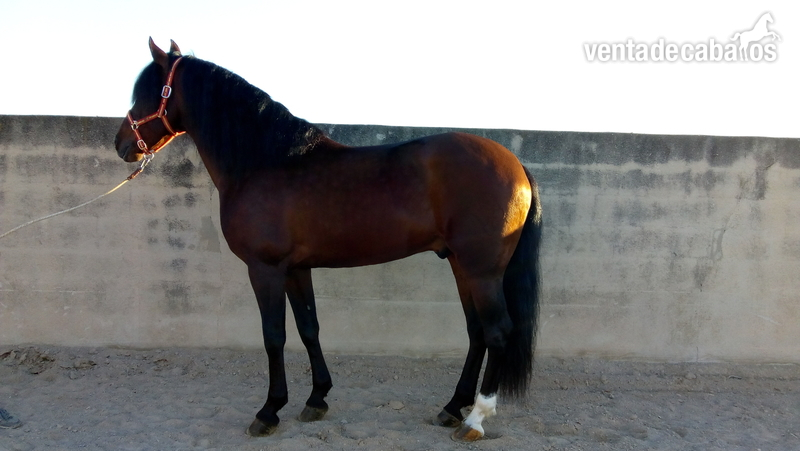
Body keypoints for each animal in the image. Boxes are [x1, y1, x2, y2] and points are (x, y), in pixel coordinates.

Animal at [114, 39, 542, 442]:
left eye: (145, 93)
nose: (121, 144)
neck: (265, 162)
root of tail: (516, 164)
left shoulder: (265, 269)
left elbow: (274, 336)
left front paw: (269, 411)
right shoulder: (296, 269)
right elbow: (309, 329)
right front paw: (316, 398)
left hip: (481, 270)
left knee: (498, 332)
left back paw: (474, 420)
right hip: (459, 264)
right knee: (476, 332)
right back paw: (452, 407)